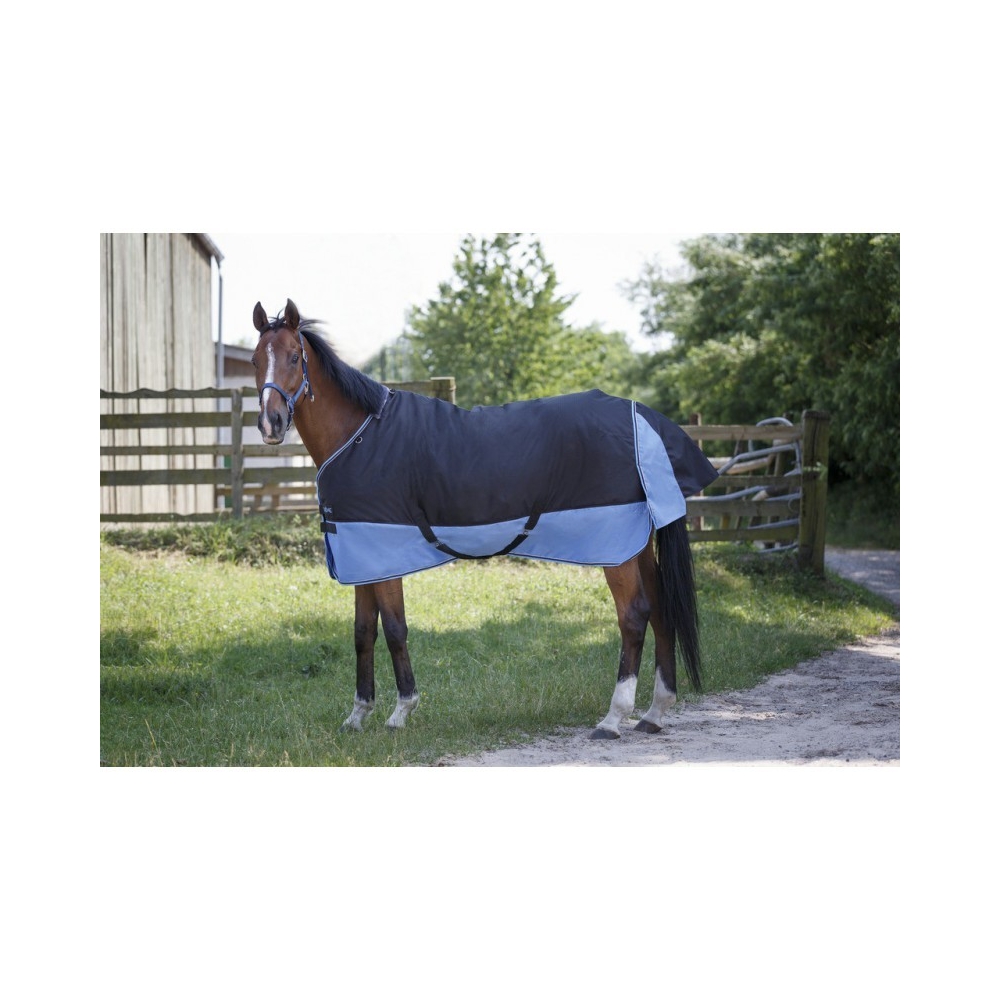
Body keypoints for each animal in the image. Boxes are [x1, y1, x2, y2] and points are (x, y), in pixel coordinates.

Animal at [251, 299, 719, 739]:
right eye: (257, 360)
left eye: (294, 356)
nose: (271, 423)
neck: (359, 436)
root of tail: (643, 418)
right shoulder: (360, 552)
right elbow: (363, 632)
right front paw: (357, 716)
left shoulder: (384, 553)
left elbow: (396, 629)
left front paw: (401, 712)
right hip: (636, 541)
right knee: (660, 610)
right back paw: (654, 713)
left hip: (615, 546)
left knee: (634, 616)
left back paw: (612, 718)